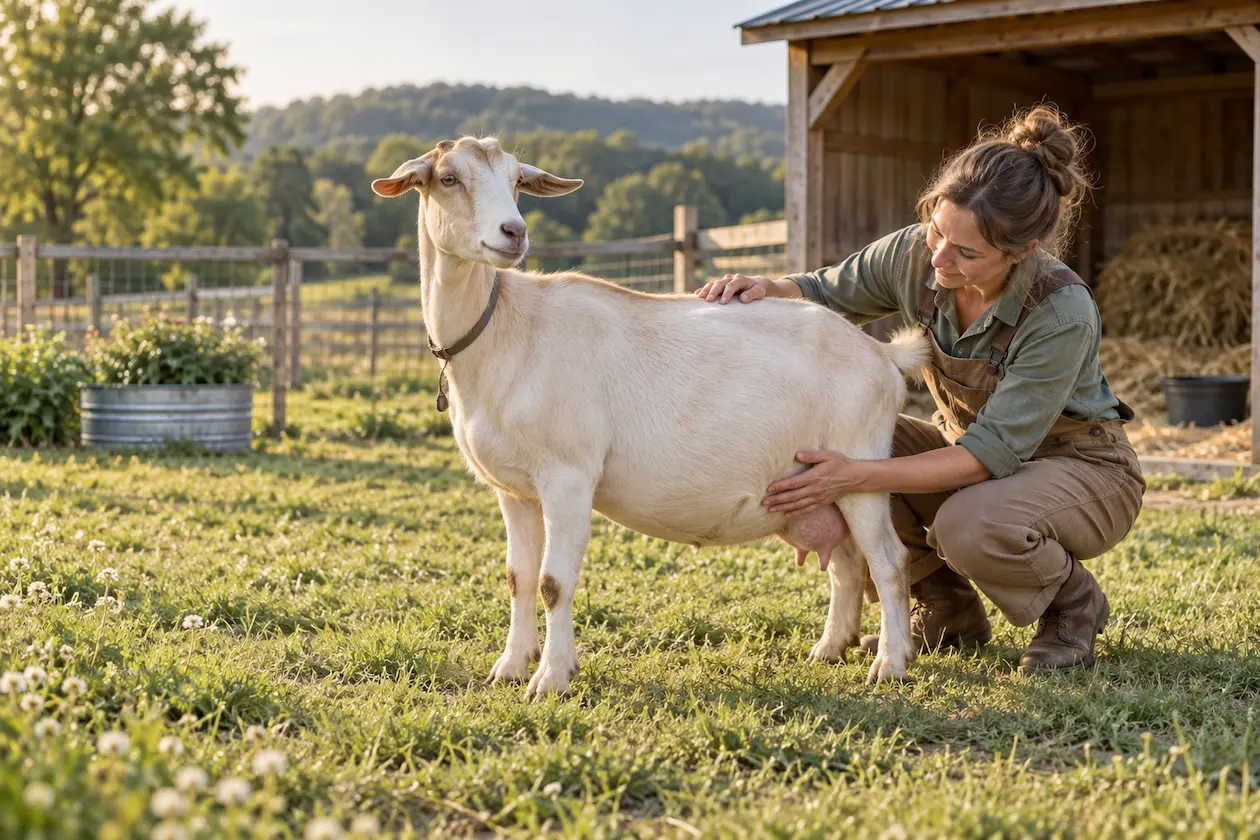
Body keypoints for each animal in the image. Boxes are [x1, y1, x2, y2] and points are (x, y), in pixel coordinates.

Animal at [372, 137, 930, 700]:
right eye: (448, 178)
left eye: (515, 182)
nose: (514, 232)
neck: (504, 330)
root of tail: (882, 355)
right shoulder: (513, 488)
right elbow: (519, 577)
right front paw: (509, 667)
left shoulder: (568, 475)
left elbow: (554, 582)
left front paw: (551, 679)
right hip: (815, 486)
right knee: (847, 564)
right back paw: (829, 648)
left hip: (857, 469)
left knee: (888, 561)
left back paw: (891, 662)